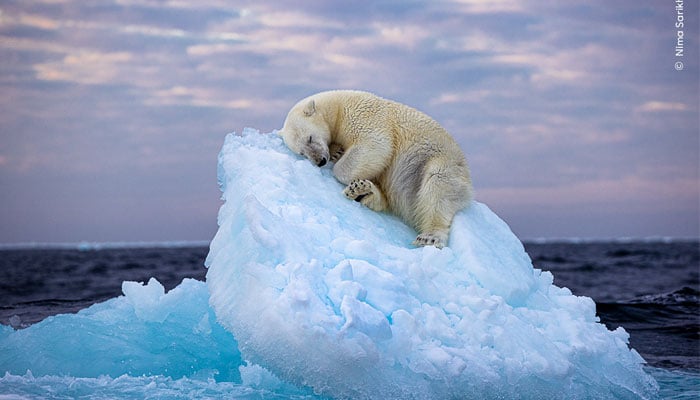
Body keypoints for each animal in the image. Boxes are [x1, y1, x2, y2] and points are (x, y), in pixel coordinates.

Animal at [278, 89, 470, 248]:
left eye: (310, 138)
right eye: (302, 153)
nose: (320, 161)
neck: (337, 106)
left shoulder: (362, 115)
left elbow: (375, 145)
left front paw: (338, 162)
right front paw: (336, 152)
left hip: (440, 162)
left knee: (438, 187)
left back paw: (429, 237)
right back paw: (362, 191)